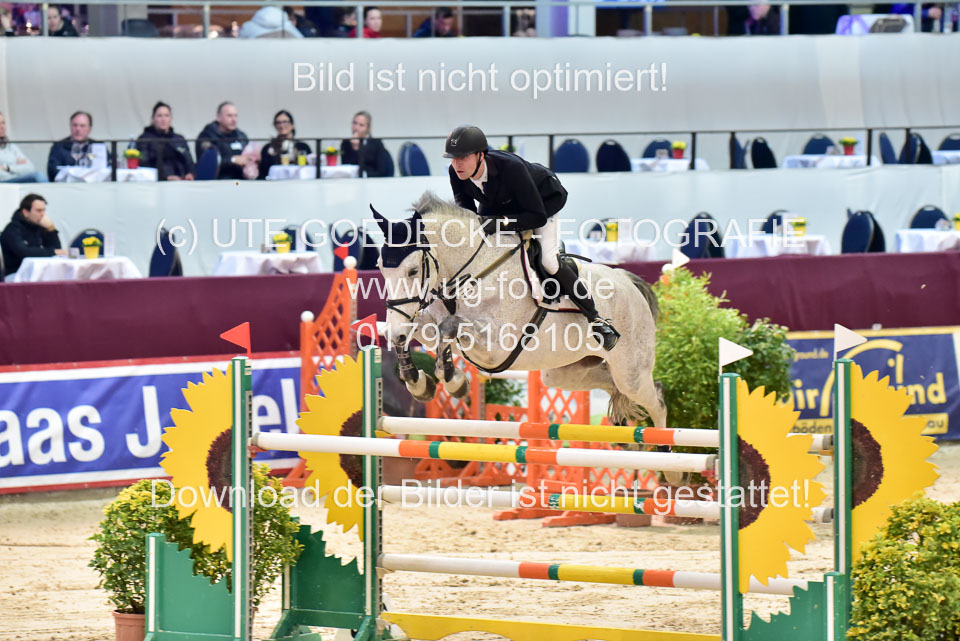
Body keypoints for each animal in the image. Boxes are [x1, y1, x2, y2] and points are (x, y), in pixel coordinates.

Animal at [372, 191, 666, 428]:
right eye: (380, 267)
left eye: (412, 270)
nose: (397, 330)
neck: (475, 270)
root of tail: (629, 281)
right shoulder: (422, 323)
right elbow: (427, 333)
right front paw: (418, 382)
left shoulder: (495, 348)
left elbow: (449, 327)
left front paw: (454, 383)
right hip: (565, 372)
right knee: (610, 383)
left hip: (631, 372)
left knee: (657, 402)